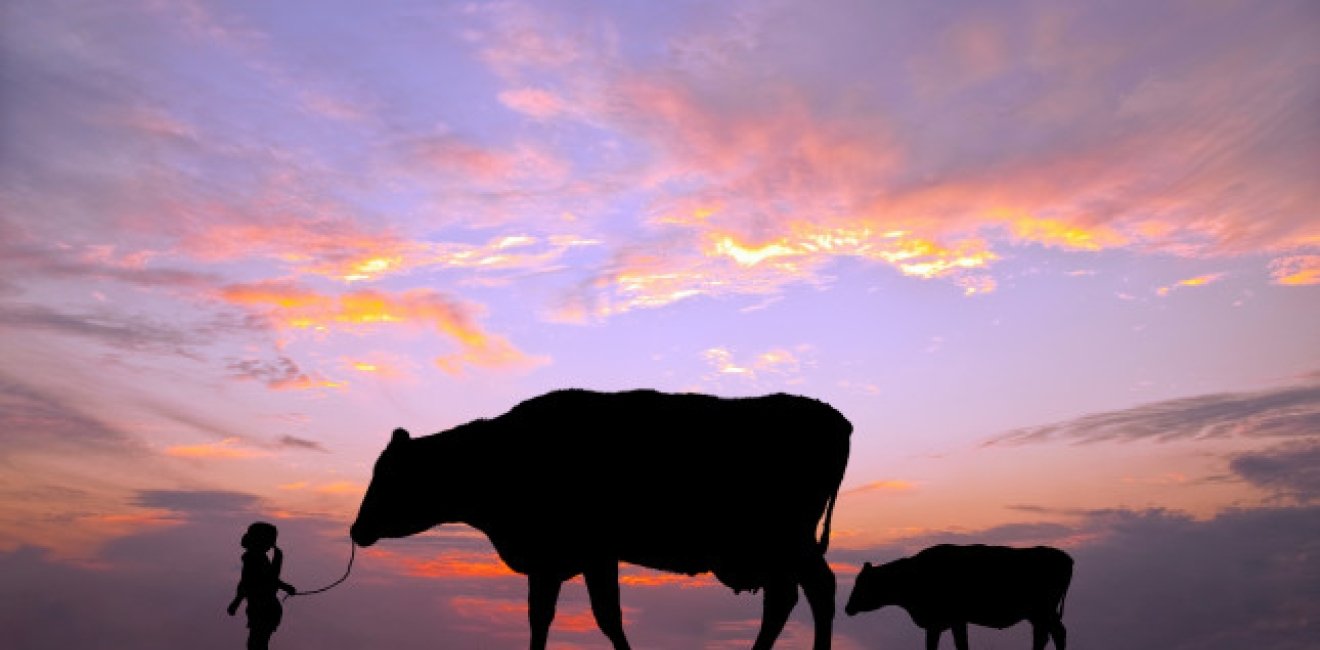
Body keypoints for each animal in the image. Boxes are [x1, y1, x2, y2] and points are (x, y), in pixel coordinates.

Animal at [350, 389, 852, 650]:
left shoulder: (579, 556)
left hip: (787, 542)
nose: (356, 529)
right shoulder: (565, 561)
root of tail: (835, 418)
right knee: (799, 595)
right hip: (787, 547)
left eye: (389, 475)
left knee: (808, 592)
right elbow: (555, 617)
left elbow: (597, 616)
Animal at [844, 544, 1072, 650]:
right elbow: (961, 643)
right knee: (1044, 635)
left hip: (1044, 611)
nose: (847, 607)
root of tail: (1066, 557)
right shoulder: (956, 621)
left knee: (1056, 633)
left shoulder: (939, 622)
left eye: (861, 583)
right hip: (1038, 615)